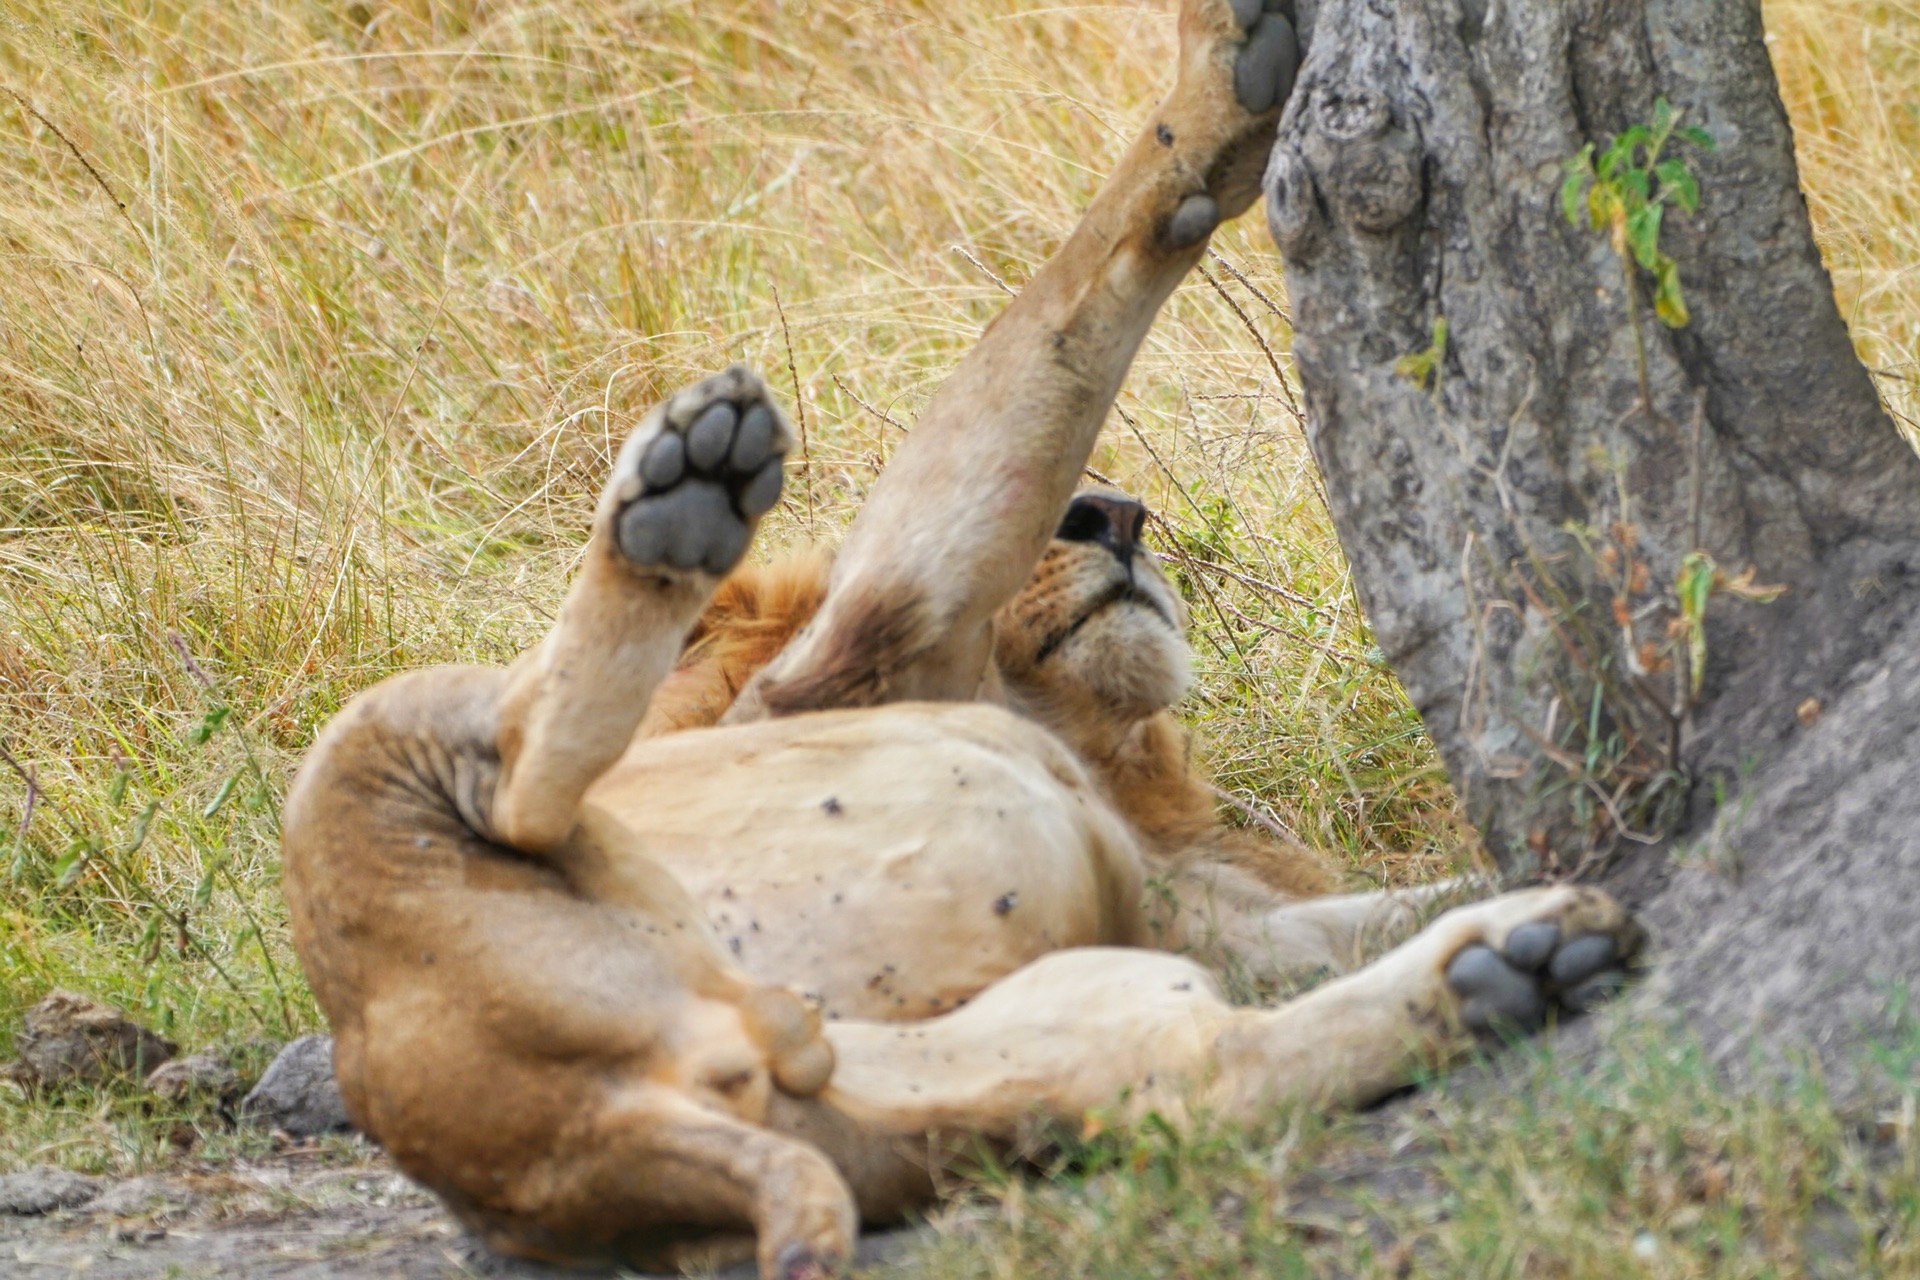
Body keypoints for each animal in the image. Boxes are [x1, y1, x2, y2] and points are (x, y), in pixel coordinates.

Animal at [278, 2, 1643, 1280]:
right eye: (1091, 515)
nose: (1119, 513)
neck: (1083, 747)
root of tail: (605, 1126)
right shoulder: (878, 639)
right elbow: (1053, 325)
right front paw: (1231, 71)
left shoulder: (1209, 923)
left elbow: (1367, 904)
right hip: (406, 751)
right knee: (520, 773)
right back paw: (685, 490)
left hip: (995, 1042)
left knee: (1204, 1074)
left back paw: (1515, 959)